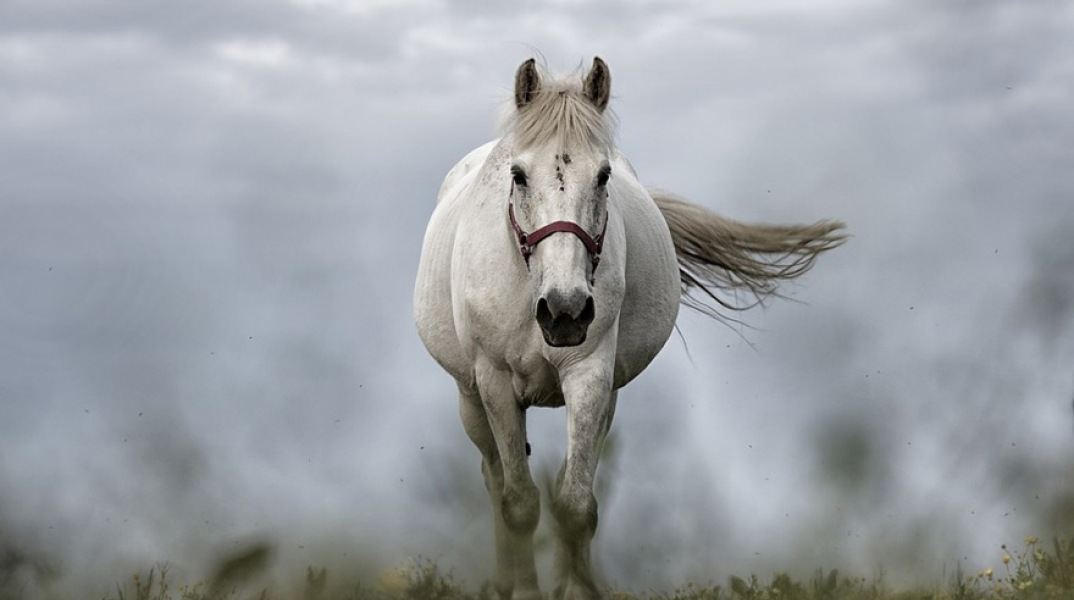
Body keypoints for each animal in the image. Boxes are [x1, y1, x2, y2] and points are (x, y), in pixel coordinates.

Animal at [413, 57, 845, 600]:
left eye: (603, 176)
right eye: (518, 175)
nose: (565, 311)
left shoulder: (591, 375)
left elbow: (575, 504)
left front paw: (574, 588)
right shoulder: (494, 382)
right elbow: (520, 504)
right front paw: (525, 589)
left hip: (605, 398)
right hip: (470, 397)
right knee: (495, 479)